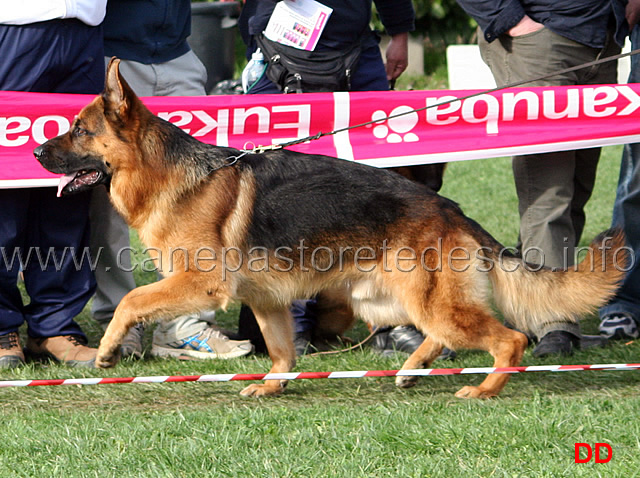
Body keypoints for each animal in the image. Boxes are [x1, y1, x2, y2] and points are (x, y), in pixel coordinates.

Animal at [33, 58, 624, 398]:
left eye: (79, 130)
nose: (36, 152)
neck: (166, 174)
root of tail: (452, 210)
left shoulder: (198, 286)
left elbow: (132, 302)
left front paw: (109, 351)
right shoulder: (267, 301)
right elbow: (282, 351)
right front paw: (272, 388)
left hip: (426, 302)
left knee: (509, 339)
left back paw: (481, 391)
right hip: (390, 301)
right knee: (441, 334)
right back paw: (412, 369)